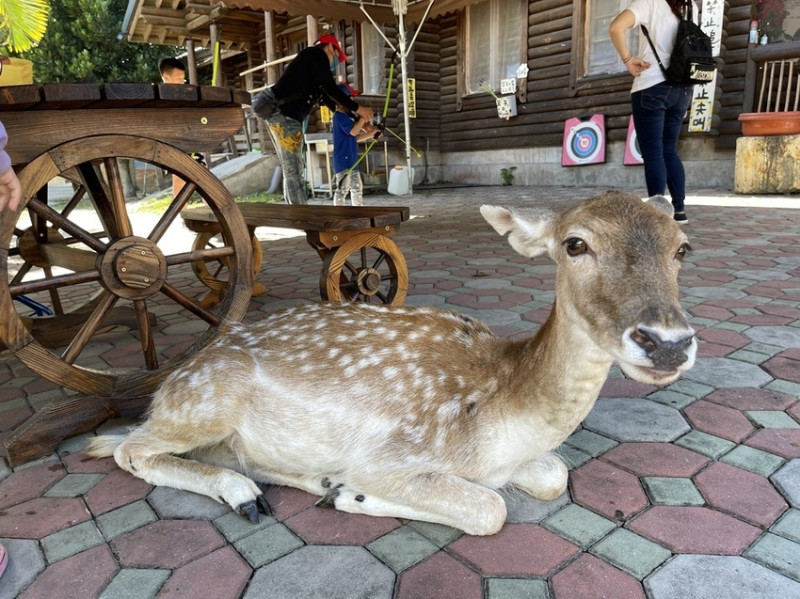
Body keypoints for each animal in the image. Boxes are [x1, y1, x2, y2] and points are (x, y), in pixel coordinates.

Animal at [87, 190, 696, 536]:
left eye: (682, 247)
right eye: (575, 244)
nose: (668, 341)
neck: (503, 413)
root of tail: (169, 385)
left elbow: (553, 474)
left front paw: (340, 491)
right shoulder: (391, 455)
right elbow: (490, 510)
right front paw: (352, 495)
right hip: (206, 398)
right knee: (126, 448)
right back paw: (247, 494)